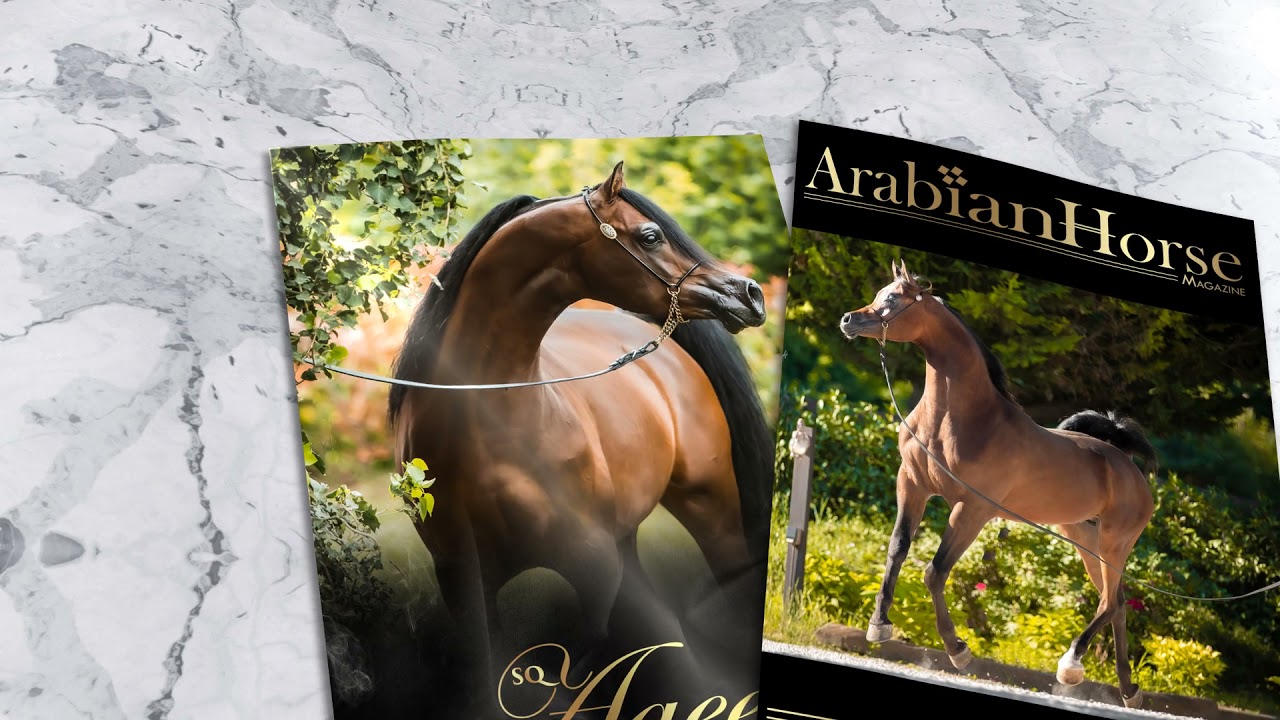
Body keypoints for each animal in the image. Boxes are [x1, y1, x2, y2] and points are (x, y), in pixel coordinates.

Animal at [385, 161, 775, 718]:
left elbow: (579, 666)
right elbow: (492, 665)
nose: (749, 293)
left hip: (712, 509)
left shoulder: (593, 568)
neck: (494, 422)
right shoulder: (461, 577)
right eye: (651, 235)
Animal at [838, 259, 1157, 709]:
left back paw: (1071, 666)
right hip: (1084, 538)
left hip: (1114, 542)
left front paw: (959, 650)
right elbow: (897, 550)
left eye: (894, 298)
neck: (959, 422)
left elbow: (935, 572)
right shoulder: (912, 485)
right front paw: (879, 625)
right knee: (1118, 604)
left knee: (1110, 602)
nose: (849, 320)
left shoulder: (972, 509)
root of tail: (1127, 465)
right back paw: (1128, 690)